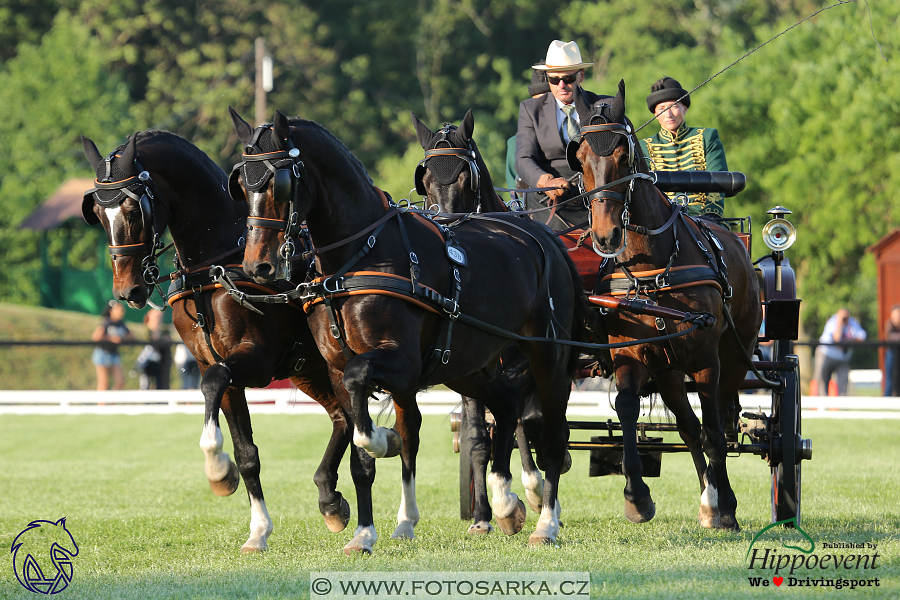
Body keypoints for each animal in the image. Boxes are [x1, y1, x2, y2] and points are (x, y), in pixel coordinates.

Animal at [77, 131, 372, 552]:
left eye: (134, 211)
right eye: (100, 216)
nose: (127, 290)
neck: (215, 266)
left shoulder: (252, 362)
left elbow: (213, 383)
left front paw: (218, 471)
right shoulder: (214, 365)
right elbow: (246, 452)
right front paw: (258, 530)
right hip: (308, 368)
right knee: (341, 418)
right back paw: (329, 499)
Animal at [229, 106, 588, 544]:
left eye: (280, 184)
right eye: (241, 184)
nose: (256, 266)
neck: (358, 258)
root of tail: (545, 237)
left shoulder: (399, 363)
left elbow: (367, 404)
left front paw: (384, 440)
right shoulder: (337, 368)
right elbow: (363, 452)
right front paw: (364, 533)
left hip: (546, 355)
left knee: (551, 434)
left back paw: (546, 521)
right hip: (463, 364)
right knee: (504, 405)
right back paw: (504, 503)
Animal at [568, 81, 760, 528]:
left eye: (624, 155)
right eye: (580, 158)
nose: (605, 236)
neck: (651, 267)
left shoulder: (707, 359)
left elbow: (714, 432)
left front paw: (726, 506)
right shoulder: (630, 355)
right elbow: (627, 409)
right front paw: (636, 496)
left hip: (734, 355)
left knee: (719, 418)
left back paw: (719, 500)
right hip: (670, 371)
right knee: (688, 427)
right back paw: (707, 497)